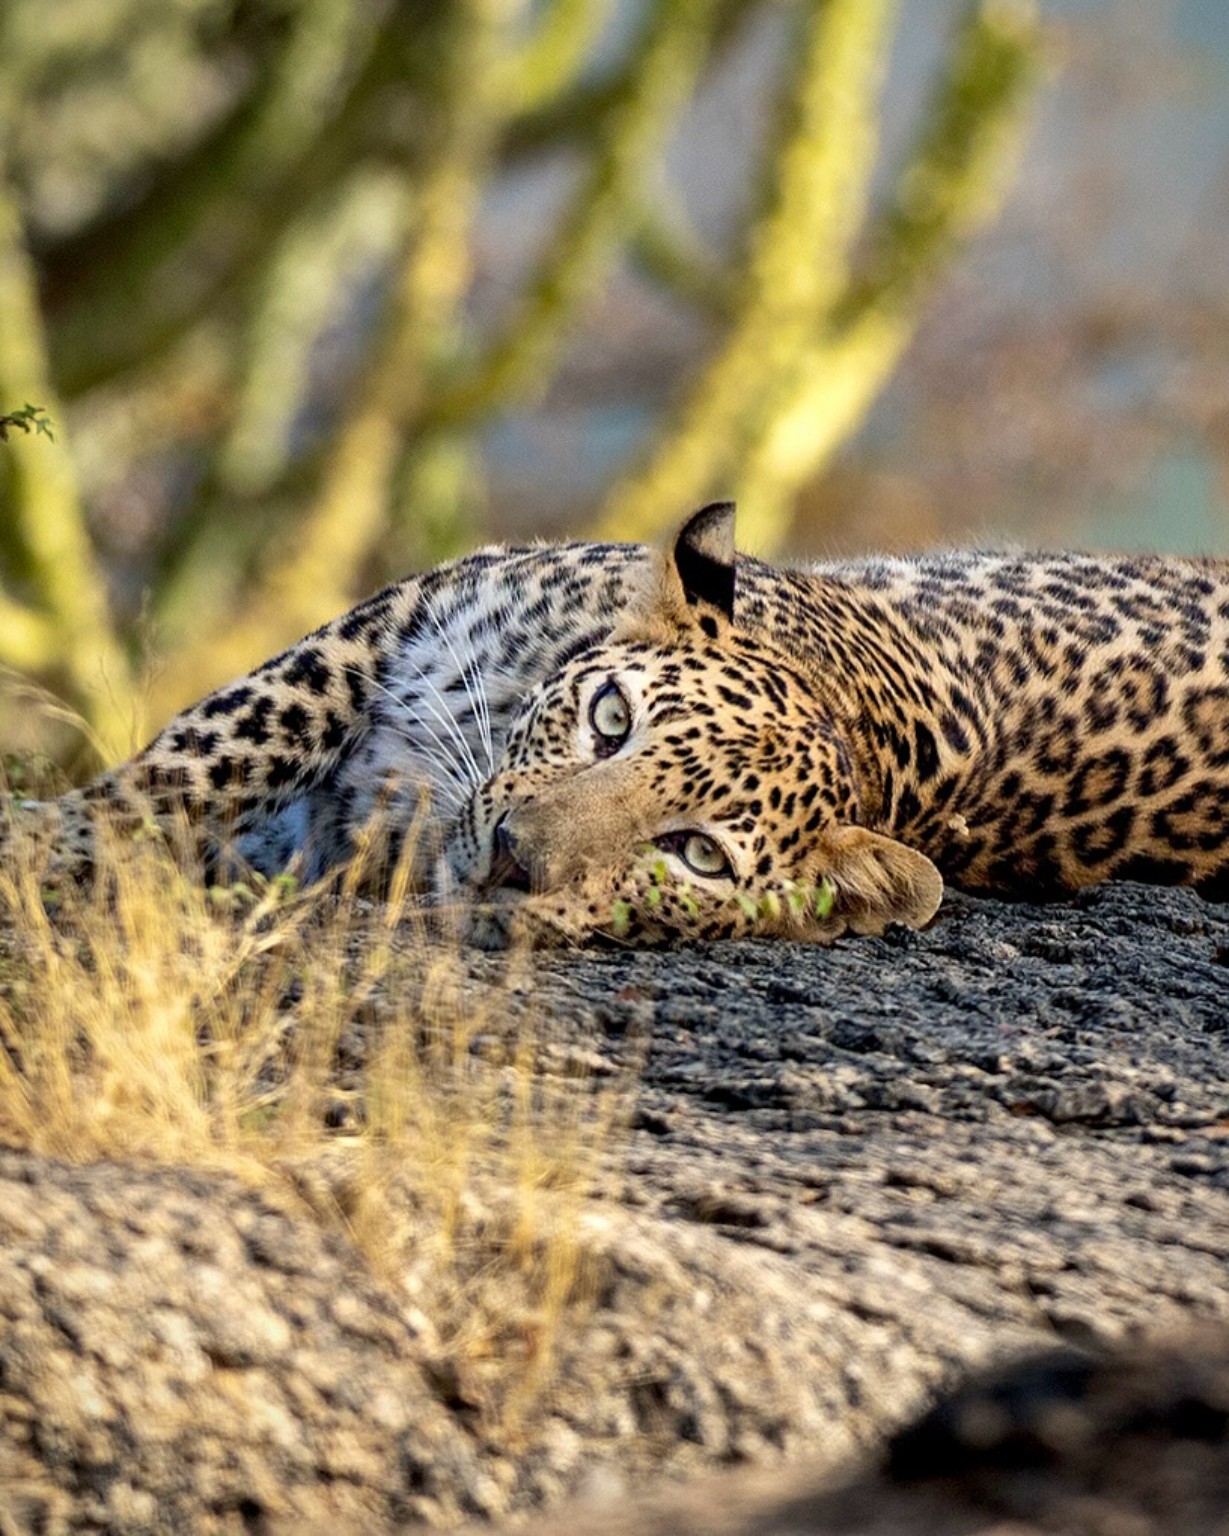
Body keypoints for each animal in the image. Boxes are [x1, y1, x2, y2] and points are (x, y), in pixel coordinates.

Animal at [9, 501, 1229, 947]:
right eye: (607, 719)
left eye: (694, 855)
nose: (512, 858)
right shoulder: (391, 621)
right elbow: (213, 756)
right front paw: (43, 840)